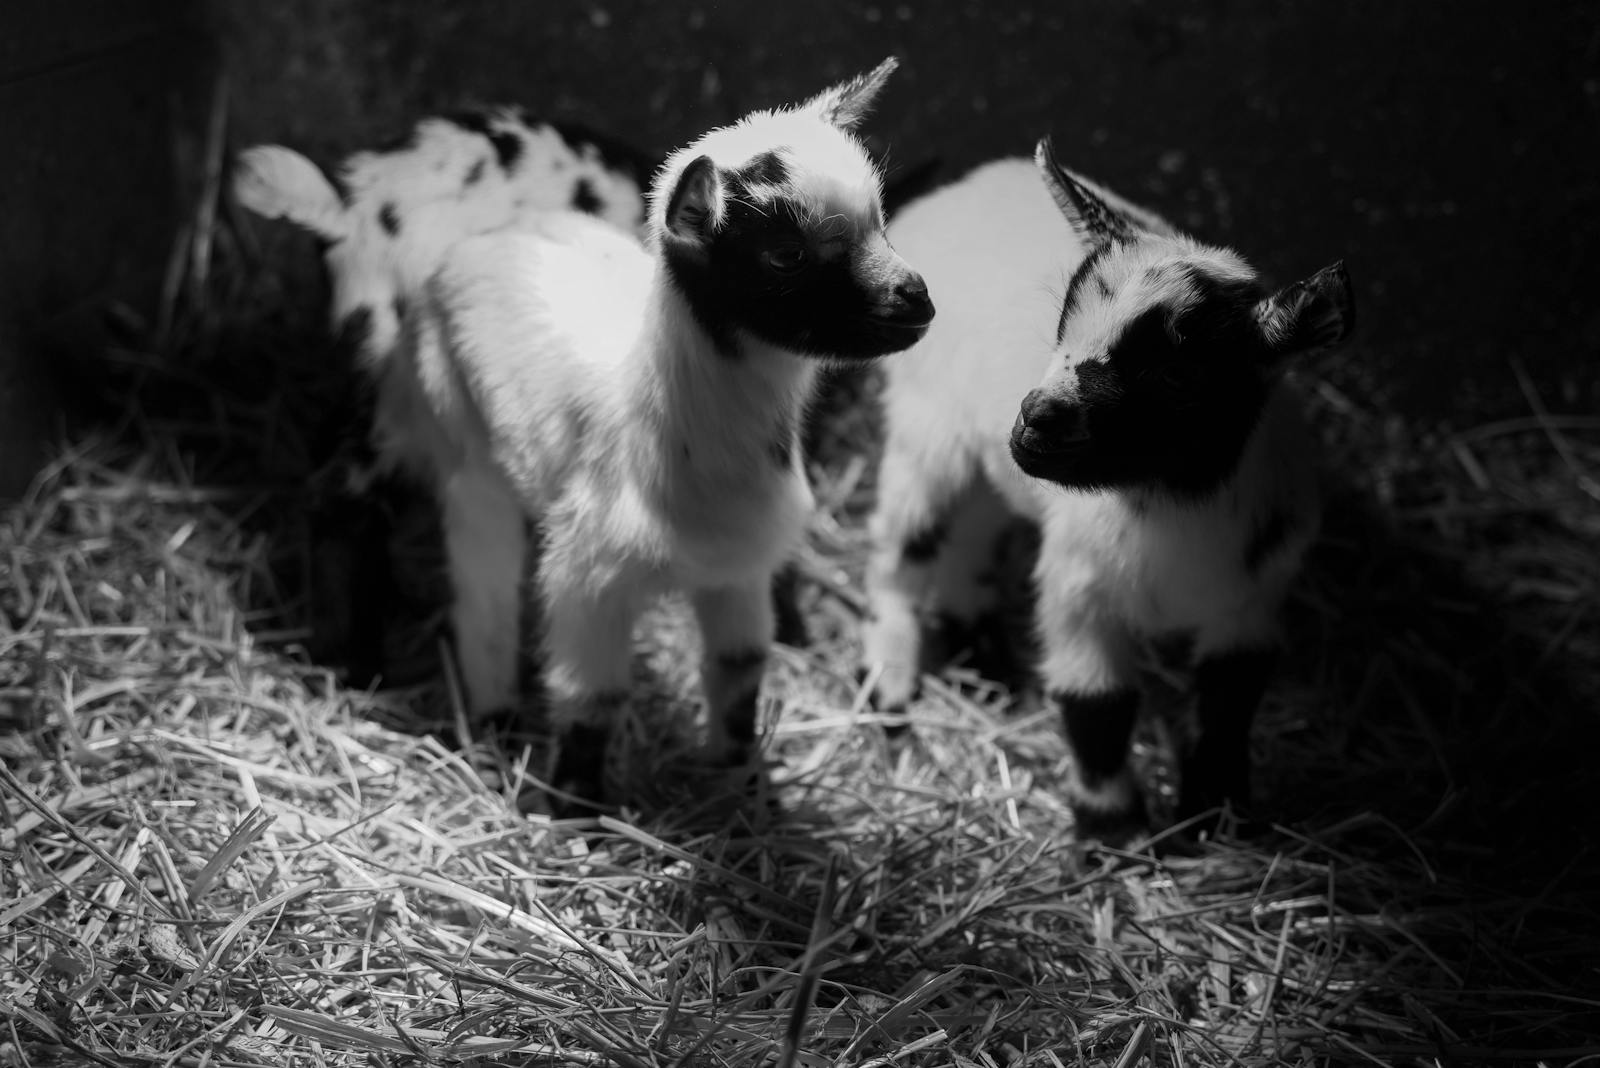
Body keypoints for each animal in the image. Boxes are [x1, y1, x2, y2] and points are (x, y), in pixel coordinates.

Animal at [399, 58, 931, 812]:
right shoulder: (588, 580)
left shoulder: (740, 570)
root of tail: (484, 237)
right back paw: (494, 720)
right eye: (785, 255)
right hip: (461, 447)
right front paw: (579, 811)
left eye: (881, 219)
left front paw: (743, 787)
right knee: (485, 592)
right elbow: (591, 699)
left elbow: (738, 677)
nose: (916, 300)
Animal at [861, 138, 1352, 840]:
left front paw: (1218, 812)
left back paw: (981, 648)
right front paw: (1113, 829)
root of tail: (940, 198)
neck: (1171, 509)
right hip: (927, 420)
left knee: (975, 524)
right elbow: (1097, 706)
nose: (1036, 418)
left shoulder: (1252, 595)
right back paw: (891, 681)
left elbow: (1231, 700)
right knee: (903, 541)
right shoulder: (1079, 589)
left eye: (1178, 374)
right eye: (1064, 323)